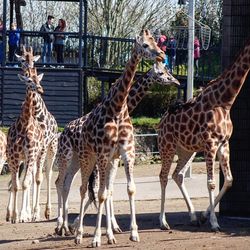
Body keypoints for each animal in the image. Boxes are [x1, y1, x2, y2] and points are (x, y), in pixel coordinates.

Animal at [5, 68, 44, 223]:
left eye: (38, 79)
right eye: (28, 80)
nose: (40, 89)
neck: (25, 124)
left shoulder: (31, 154)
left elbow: (25, 183)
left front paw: (22, 215)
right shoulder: (14, 156)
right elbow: (16, 186)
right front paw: (14, 216)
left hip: (36, 157)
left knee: (34, 179)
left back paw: (32, 213)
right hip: (19, 160)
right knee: (15, 182)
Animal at [54, 29, 165, 246]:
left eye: (155, 41)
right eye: (145, 45)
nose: (161, 55)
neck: (118, 107)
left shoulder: (125, 153)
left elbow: (127, 189)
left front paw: (130, 232)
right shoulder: (104, 155)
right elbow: (102, 193)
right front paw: (98, 236)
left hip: (84, 161)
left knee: (72, 185)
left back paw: (74, 228)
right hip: (80, 157)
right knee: (76, 187)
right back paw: (73, 231)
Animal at [157, 39, 250, 232]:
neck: (225, 101)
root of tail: (161, 123)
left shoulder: (224, 143)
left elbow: (229, 180)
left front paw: (204, 215)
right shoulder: (210, 143)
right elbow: (211, 182)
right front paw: (214, 223)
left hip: (186, 150)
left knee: (177, 175)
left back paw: (193, 217)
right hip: (167, 147)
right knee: (163, 176)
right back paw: (163, 221)